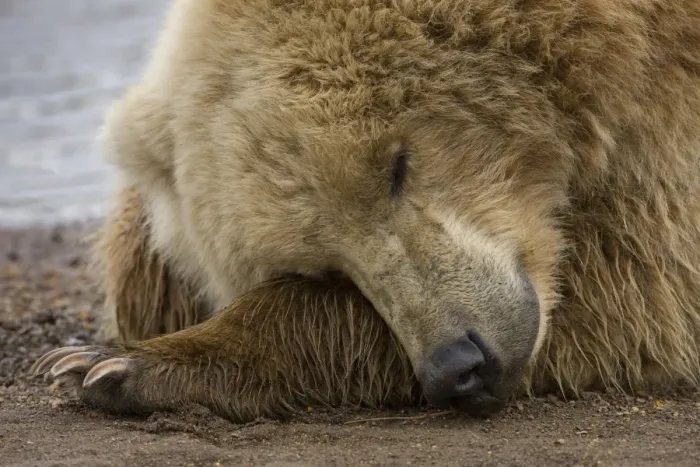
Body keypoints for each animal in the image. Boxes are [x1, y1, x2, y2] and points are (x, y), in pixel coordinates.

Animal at [31, 0, 700, 422]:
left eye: (396, 166)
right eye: (327, 264)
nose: (461, 364)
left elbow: (640, 290)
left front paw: (109, 364)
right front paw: (93, 356)